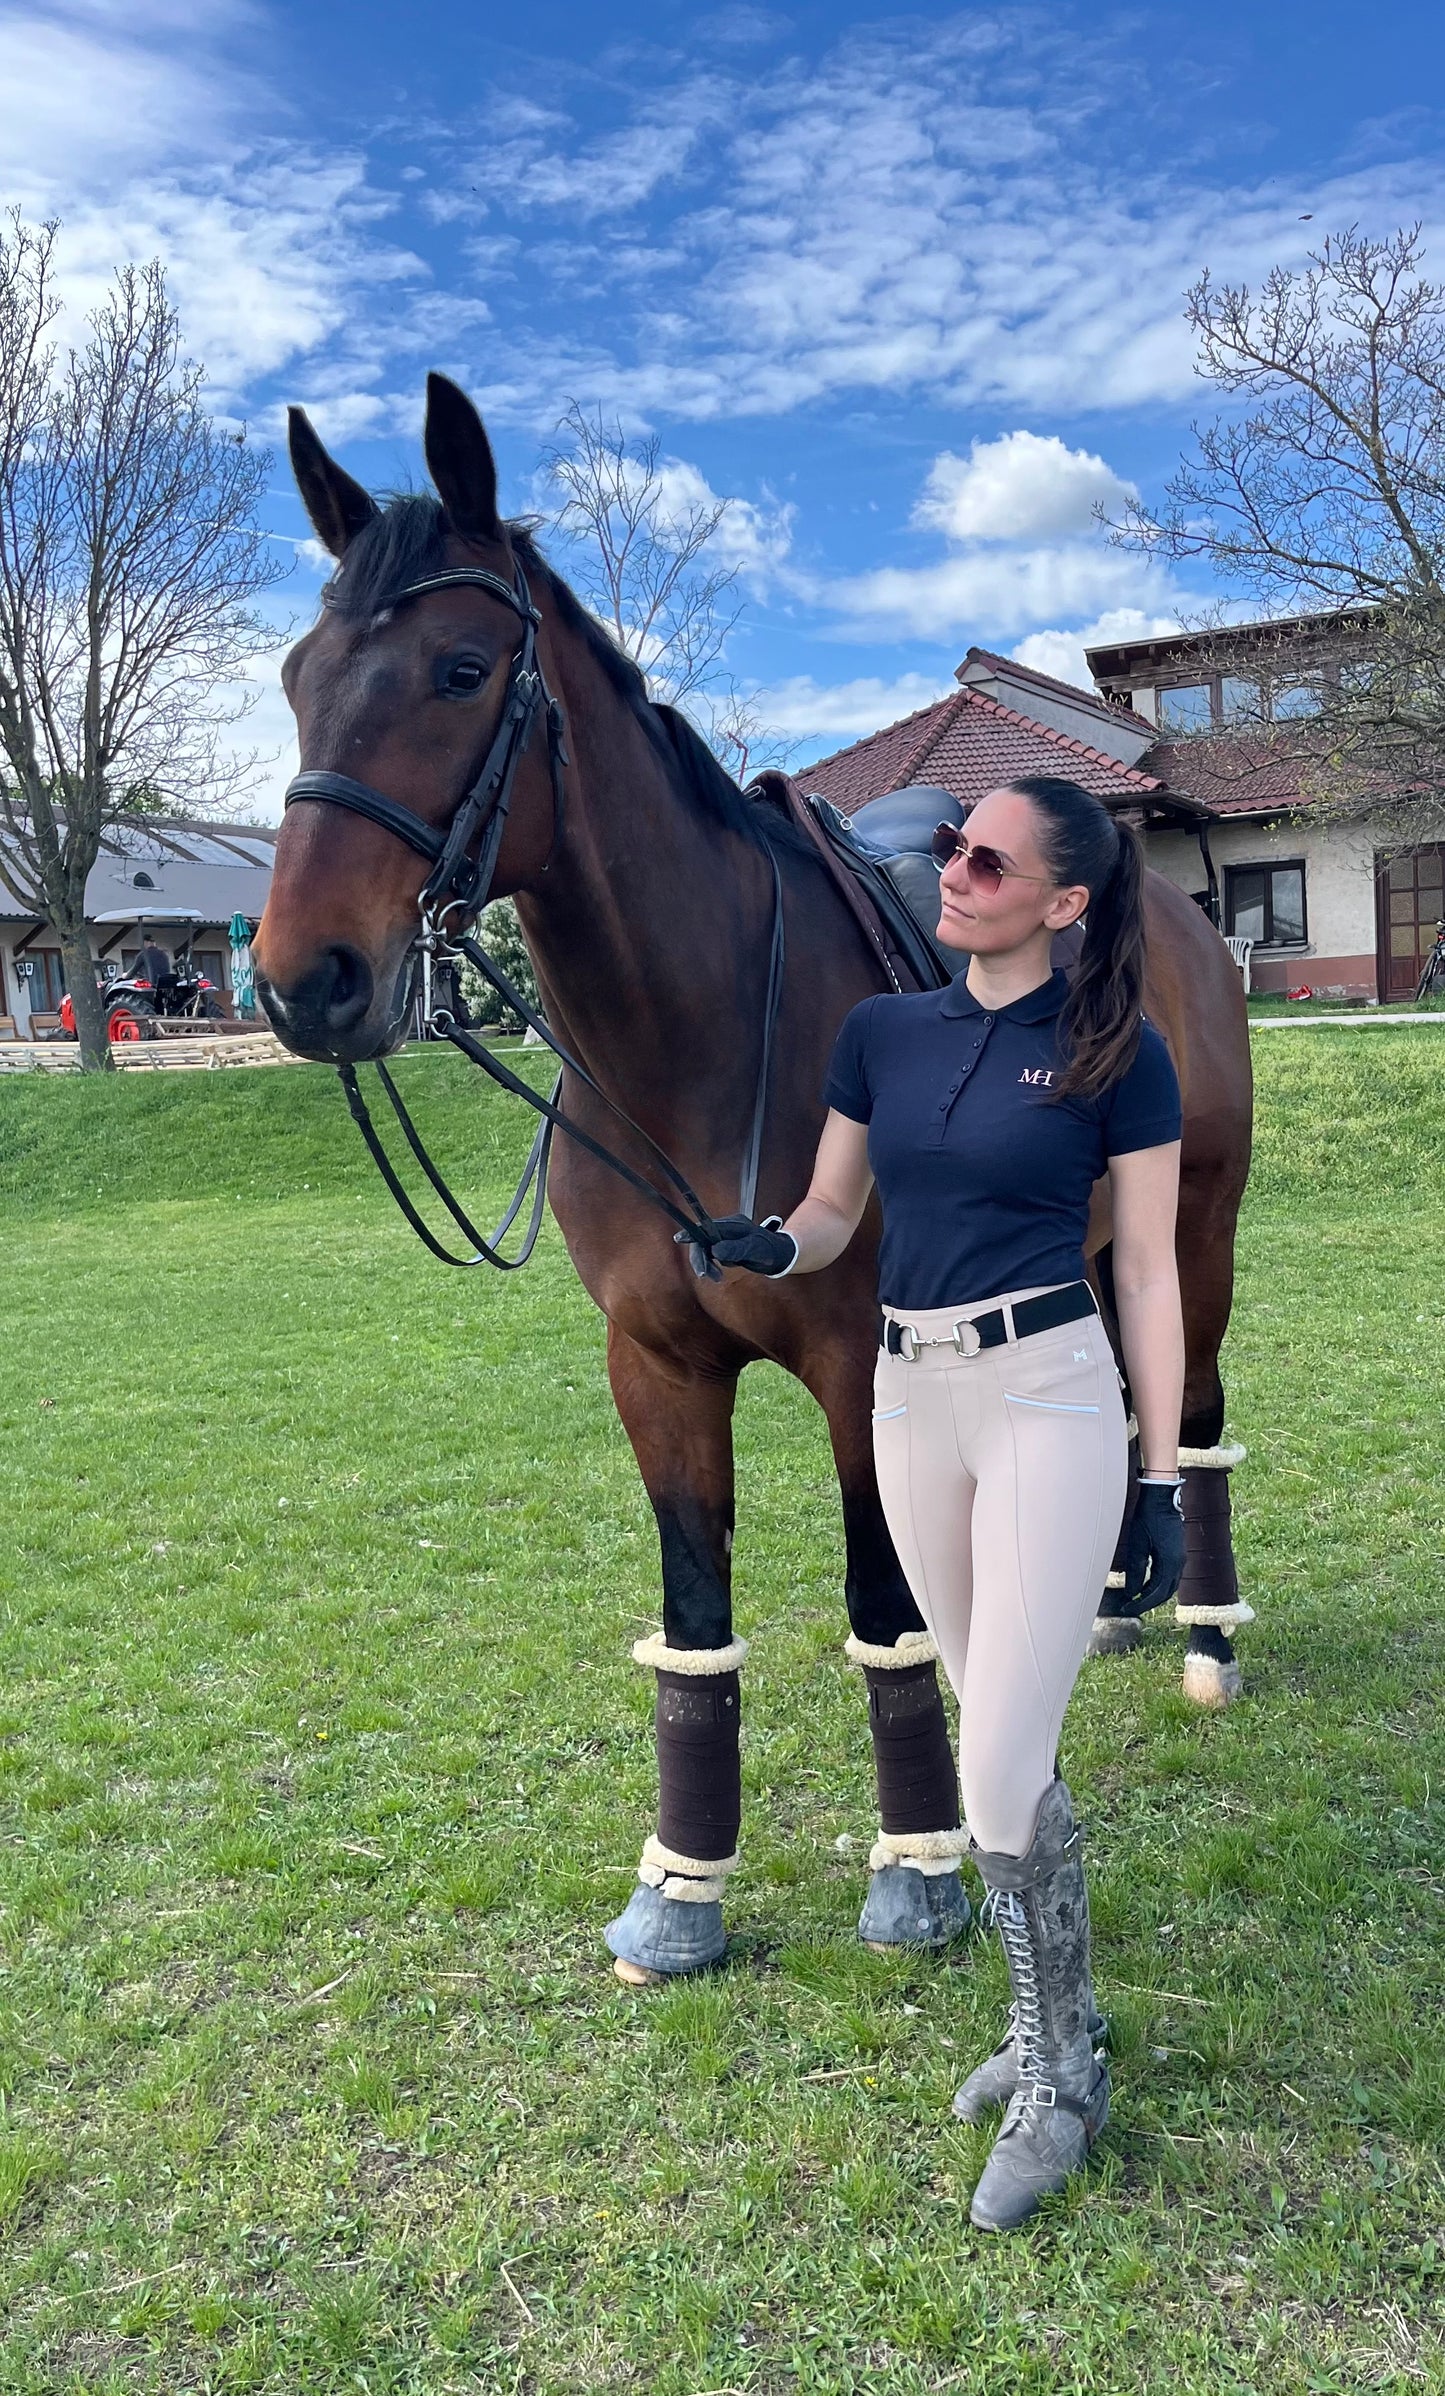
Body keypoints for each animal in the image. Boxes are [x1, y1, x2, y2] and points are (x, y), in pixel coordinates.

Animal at [257, 373, 1255, 1983]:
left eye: (461, 668)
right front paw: (681, 1889)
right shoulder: (655, 1369)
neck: (700, 1035)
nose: (306, 980)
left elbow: (881, 1605)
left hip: (1197, 1234)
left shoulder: (864, 1365)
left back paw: (1207, 1634)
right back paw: (1101, 1606)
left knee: (1198, 1413)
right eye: (296, 674)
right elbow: (693, 1623)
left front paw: (916, 1872)